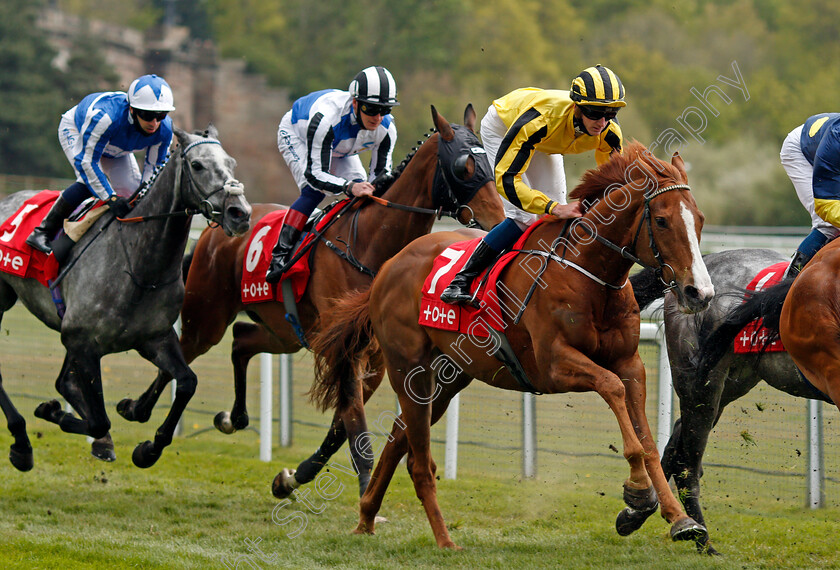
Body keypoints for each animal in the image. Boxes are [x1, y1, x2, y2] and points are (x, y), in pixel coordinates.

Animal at [0, 126, 251, 468]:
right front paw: (52, 412)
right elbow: (98, 420)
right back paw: (22, 444)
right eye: (197, 165)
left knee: (65, 382)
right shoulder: (82, 341)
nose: (240, 213)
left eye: (232, 163)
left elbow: (186, 382)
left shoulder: (154, 338)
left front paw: (148, 447)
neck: (140, 267)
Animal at [113, 105, 506, 492]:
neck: (370, 243)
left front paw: (293, 477)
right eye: (464, 166)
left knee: (240, 340)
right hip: (207, 317)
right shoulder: (346, 351)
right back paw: (141, 423)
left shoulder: (375, 358)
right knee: (182, 355)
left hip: (284, 332)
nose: (499, 217)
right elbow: (354, 423)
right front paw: (365, 489)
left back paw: (230, 418)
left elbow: (340, 426)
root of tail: (215, 229)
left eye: (489, 162)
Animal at [312, 142, 720, 544]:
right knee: (418, 461)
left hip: (444, 380)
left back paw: (366, 518)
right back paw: (444, 540)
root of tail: (387, 267)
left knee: (399, 442)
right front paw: (636, 493)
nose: (699, 292)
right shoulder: (554, 365)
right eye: (662, 220)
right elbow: (612, 389)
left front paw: (677, 517)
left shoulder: (630, 362)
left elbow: (647, 439)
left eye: (700, 219)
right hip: (406, 367)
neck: (588, 272)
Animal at [632, 247, 832, 552]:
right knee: (686, 462)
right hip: (701, 382)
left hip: (731, 382)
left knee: (676, 441)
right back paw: (701, 540)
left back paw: (641, 514)